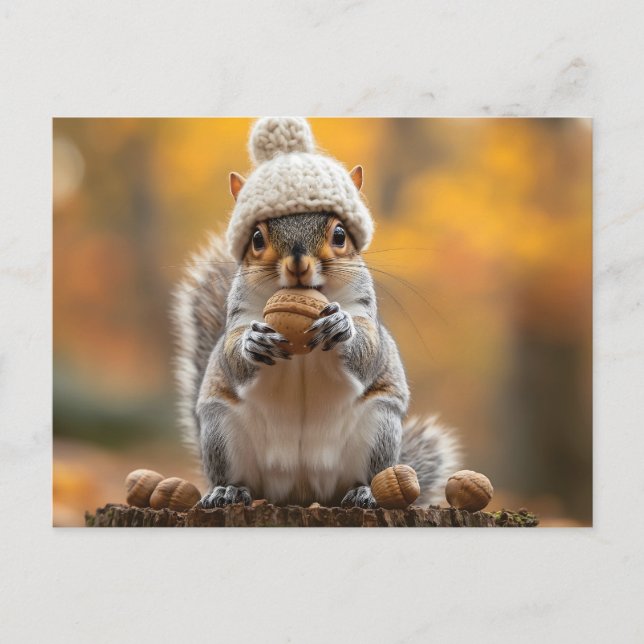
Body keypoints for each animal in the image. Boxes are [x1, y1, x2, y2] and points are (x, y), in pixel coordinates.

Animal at [171, 117, 459, 508]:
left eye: (340, 234)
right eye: (257, 239)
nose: (298, 263)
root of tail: (301, 491)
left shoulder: (364, 311)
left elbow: (368, 349)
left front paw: (341, 327)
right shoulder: (241, 315)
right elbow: (231, 353)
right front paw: (252, 343)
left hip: (379, 428)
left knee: (366, 474)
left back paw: (365, 491)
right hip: (221, 432)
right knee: (236, 477)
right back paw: (227, 490)